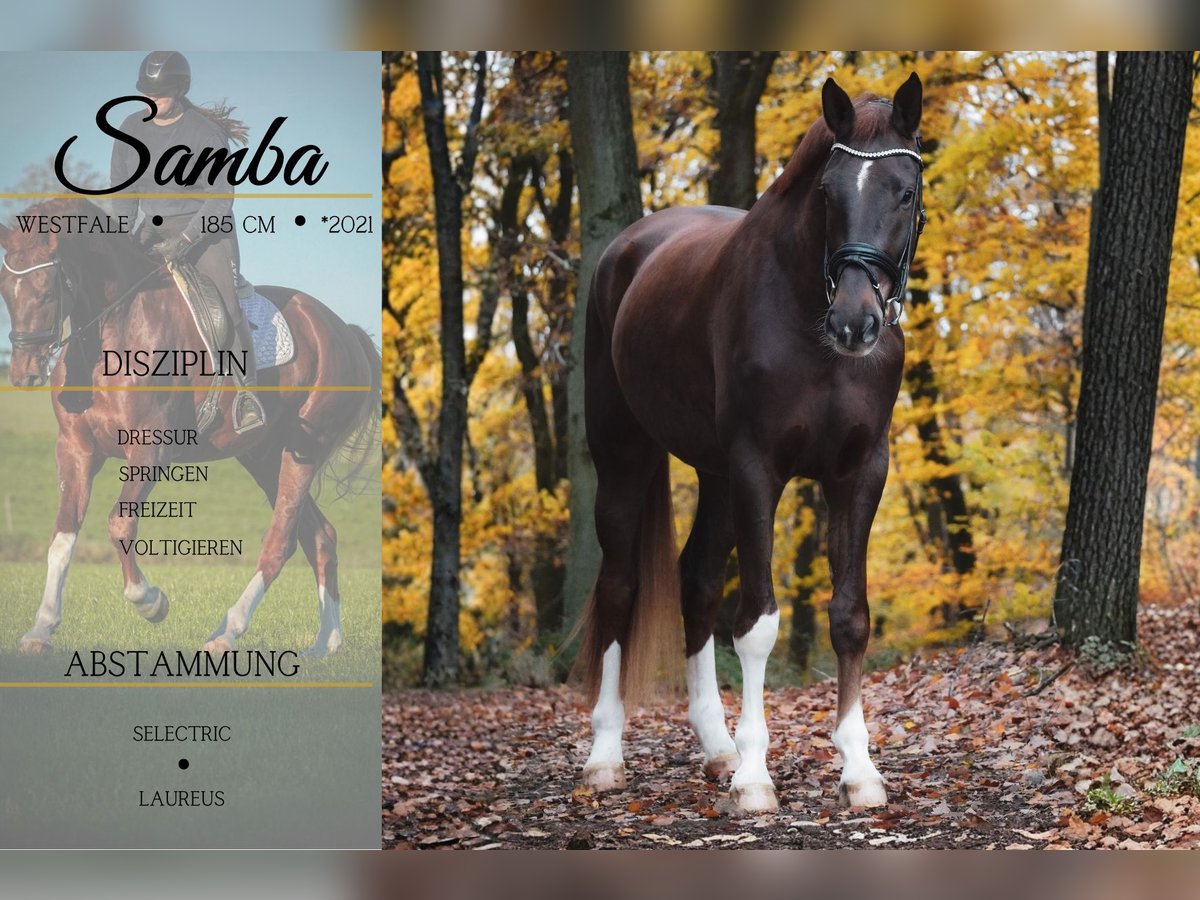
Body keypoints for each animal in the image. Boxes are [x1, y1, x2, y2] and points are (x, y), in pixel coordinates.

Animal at [0, 198, 380, 658]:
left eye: (47, 291)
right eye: (5, 288)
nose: (23, 374)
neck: (114, 329)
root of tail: (344, 331)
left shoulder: (150, 450)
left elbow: (119, 525)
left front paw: (151, 602)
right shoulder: (75, 448)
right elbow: (62, 534)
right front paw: (40, 629)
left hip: (304, 450)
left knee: (281, 542)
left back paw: (226, 632)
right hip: (264, 456)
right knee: (320, 536)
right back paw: (325, 642)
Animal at [575, 74, 926, 814]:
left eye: (904, 193)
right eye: (827, 193)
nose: (856, 323)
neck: (809, 322)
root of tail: (628, 249)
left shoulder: (860, 472)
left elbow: (850, 615)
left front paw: (859, 769)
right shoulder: (757, 468)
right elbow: (758, 623)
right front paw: (756, 776)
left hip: (712, 476)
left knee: (697, 581)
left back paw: (715, 747)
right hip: (626, 456)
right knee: (619, 586)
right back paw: (605, 756)